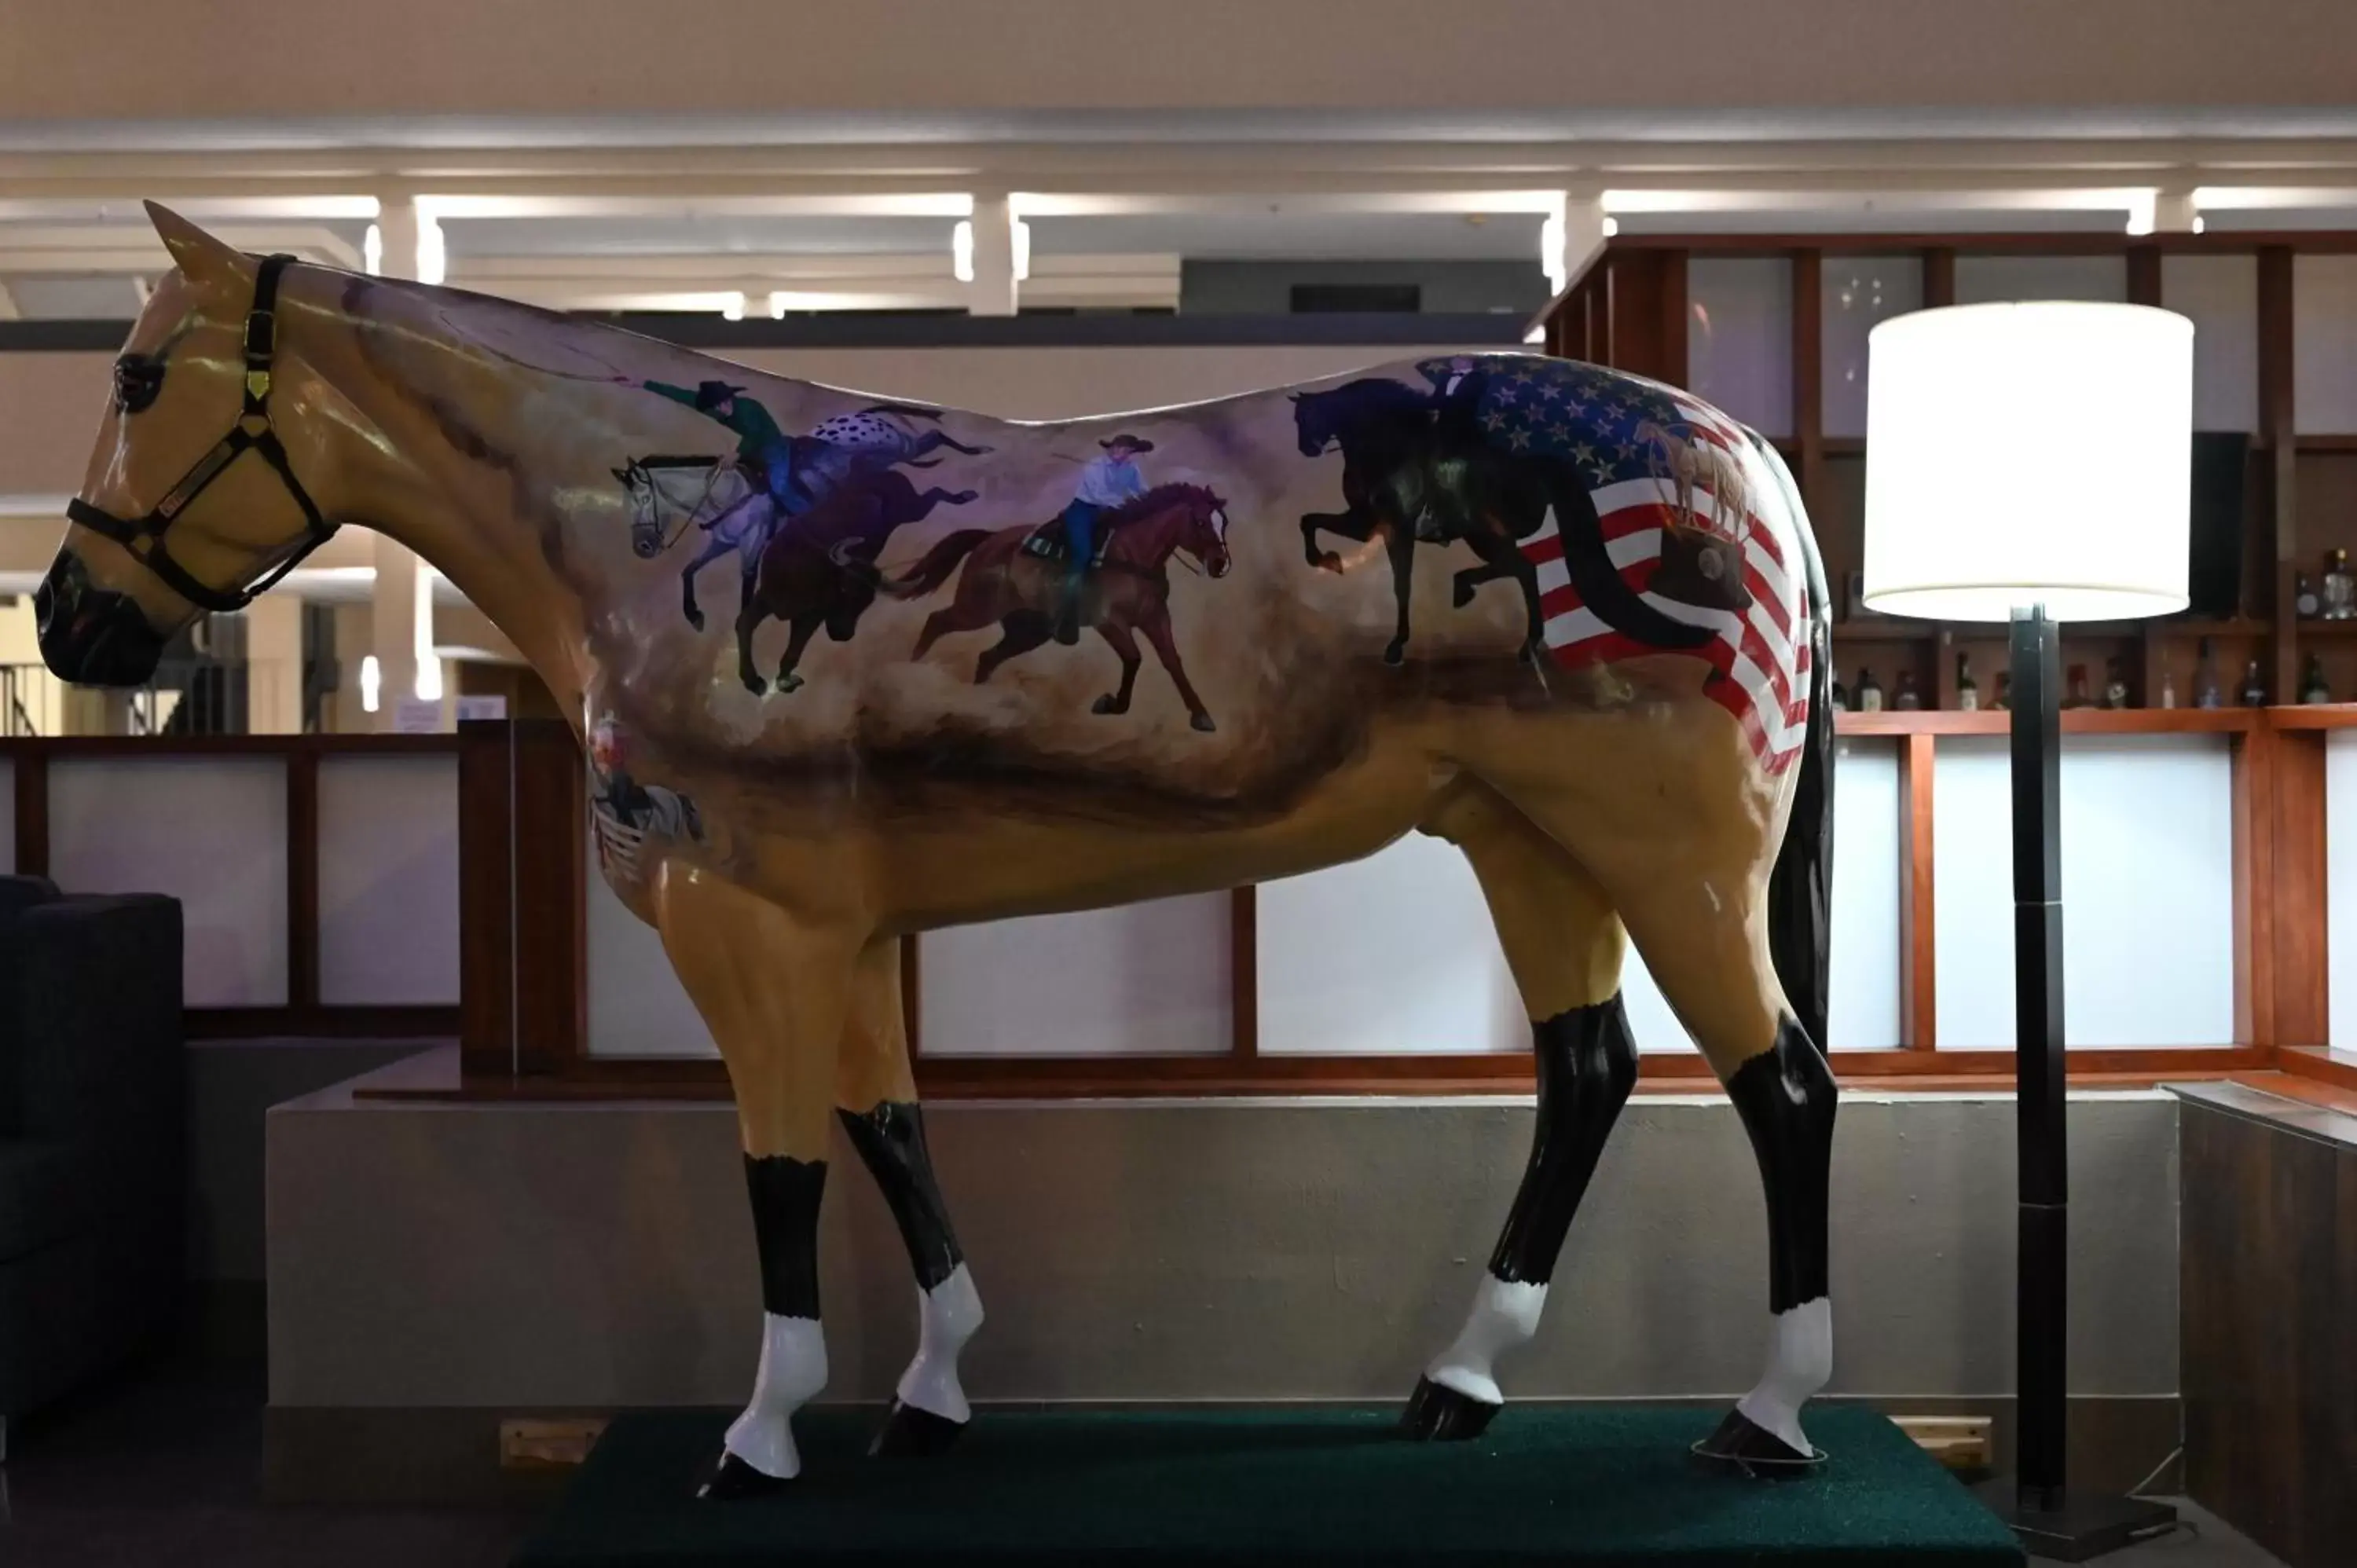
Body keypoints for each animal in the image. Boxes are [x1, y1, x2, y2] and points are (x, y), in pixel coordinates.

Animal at [886, 483, 1235, 735]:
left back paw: (976, 705)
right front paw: (1109, 703)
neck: (1132, 556)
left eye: (1224, 522)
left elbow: (1172, 661)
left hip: (1028, 630)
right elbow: (1134, 658)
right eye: (1200, 521)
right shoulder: (1110, 622)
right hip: (977, 608)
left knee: (987, 658)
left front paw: (1202, 716)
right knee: (937, 621)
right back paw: (908, 673)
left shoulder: (1155, 618)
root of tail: (990, 539)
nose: (1221, 564)